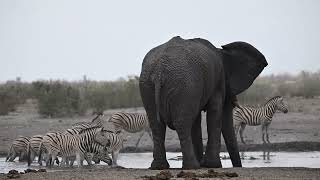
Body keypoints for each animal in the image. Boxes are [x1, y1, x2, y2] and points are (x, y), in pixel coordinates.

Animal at [139, 36, 268, 169]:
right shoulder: (216, 84)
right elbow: (215, 113)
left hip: (149, 85)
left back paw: (159, 166)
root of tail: (160, 71)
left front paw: (205, 164)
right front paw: (213, 165)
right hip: (184, 84)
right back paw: (192, 166)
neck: (222, 52)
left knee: (157, 124)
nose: (237, 166)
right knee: (182, 123)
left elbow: (197, 120)